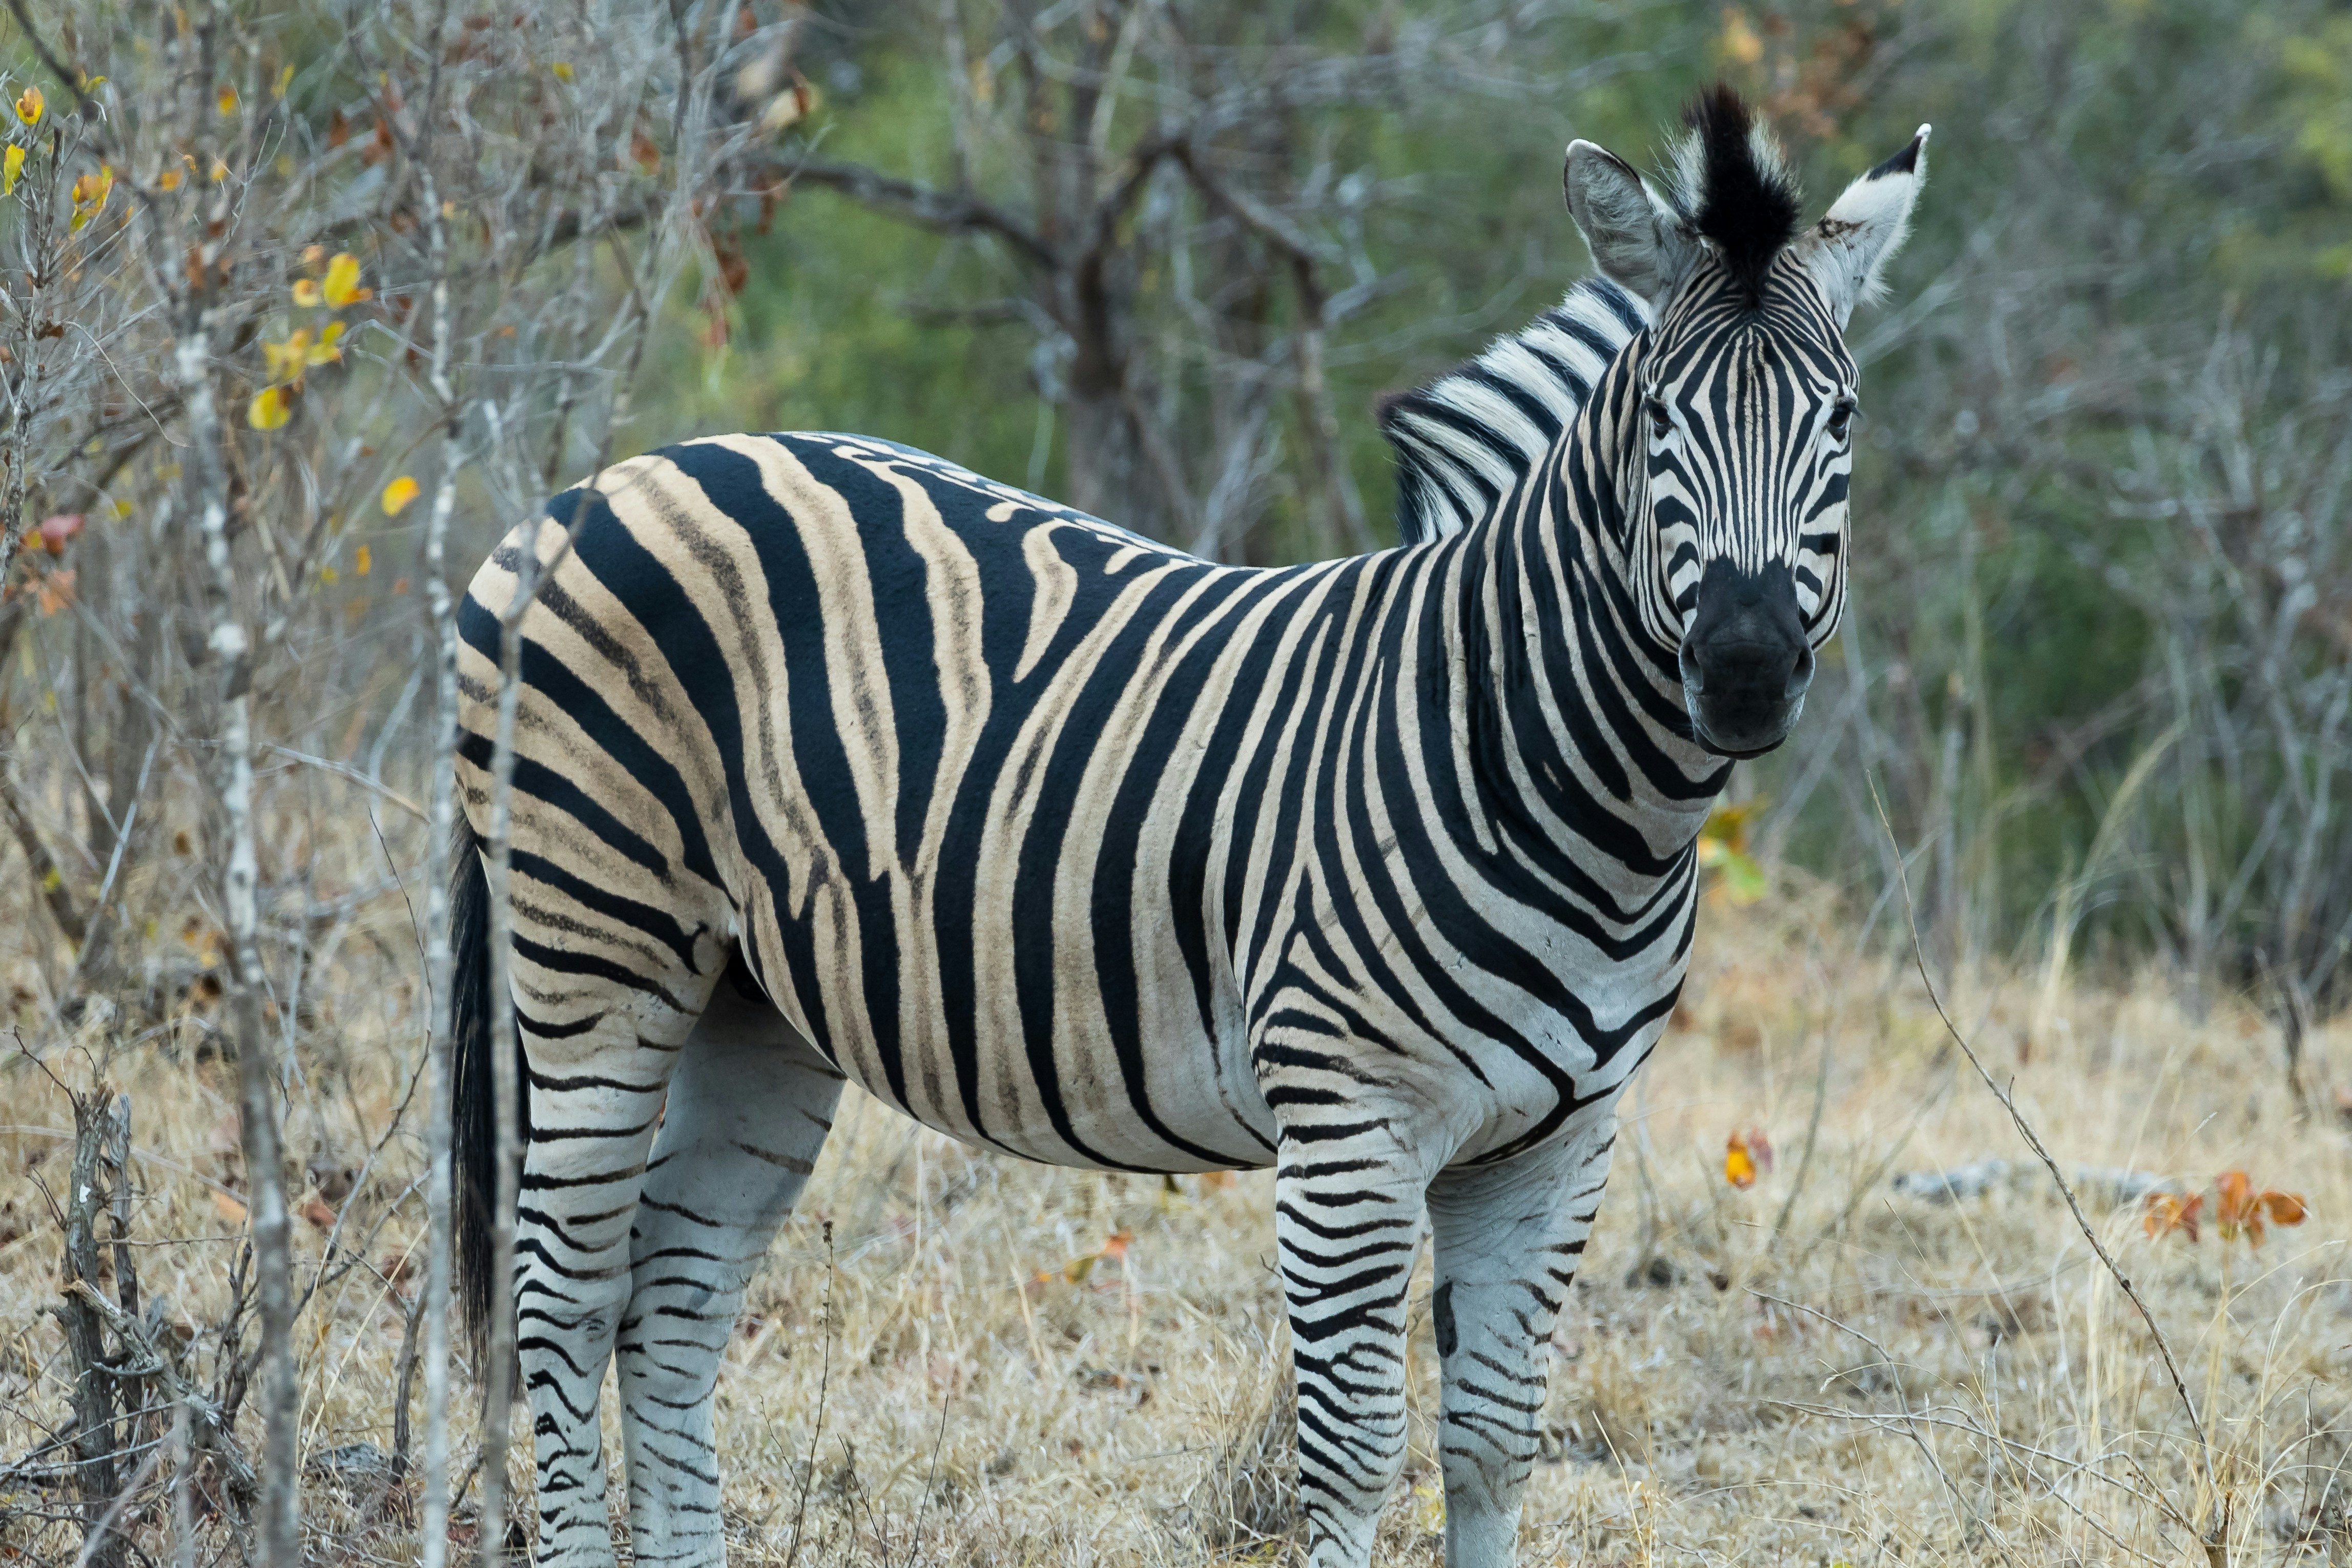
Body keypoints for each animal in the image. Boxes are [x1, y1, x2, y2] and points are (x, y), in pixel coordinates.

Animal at [447, 85, 1927, 1568]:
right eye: (1659, 422)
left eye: (1842, 417)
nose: (1741, 668)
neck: (1555, 780)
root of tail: (602, 485)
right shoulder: (1346, 1123)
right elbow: (1353, 1451)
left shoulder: (1558, 1143)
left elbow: (1495, 1438)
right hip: (594, 960)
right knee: (563, 1302)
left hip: (749, 1004)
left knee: (669, 1304)